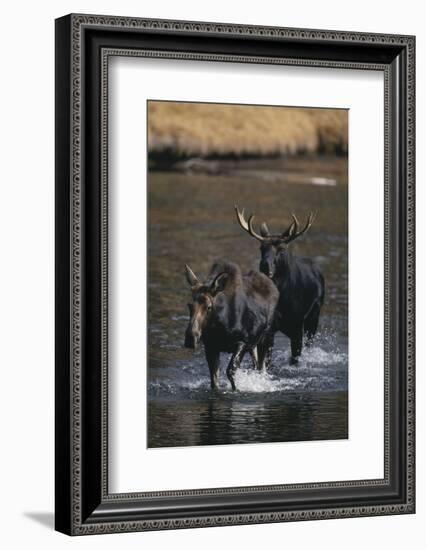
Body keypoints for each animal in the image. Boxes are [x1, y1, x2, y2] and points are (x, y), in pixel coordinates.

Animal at [184, 260, 280, 392]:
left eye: (209, 307)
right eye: (189, 305)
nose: (190, 337)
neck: (219, 326)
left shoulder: (242, 342)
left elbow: (230, 371)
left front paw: (237, 389)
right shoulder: (211, 347)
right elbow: (214, 380)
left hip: (267, 338)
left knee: (262, 368)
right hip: (253, 345)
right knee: (256, 365)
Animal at [235, 207, 324, 366]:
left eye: (282, 249)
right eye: (261, 248)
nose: (265, 265)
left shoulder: (296, 326)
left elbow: (295, 358)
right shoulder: (269, 328)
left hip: (314, 314)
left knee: (310, 342)